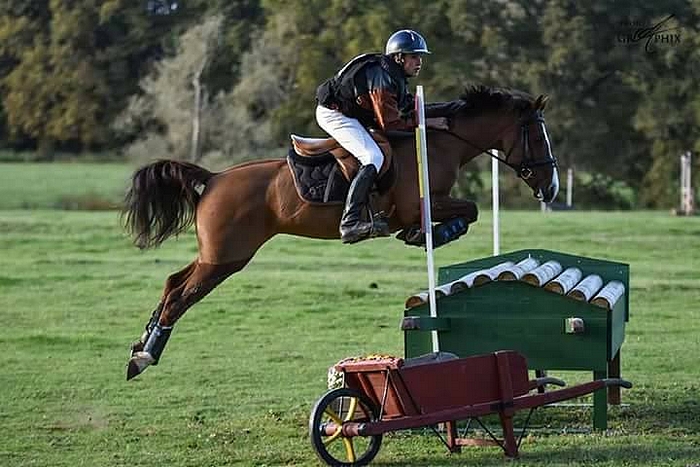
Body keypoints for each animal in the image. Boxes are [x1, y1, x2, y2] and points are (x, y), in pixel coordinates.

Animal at [120, 86, 556, 382]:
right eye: (537, 136)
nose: (550, 189)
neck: (438, 144)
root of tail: (212, 179)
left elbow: (470, 211)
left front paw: (424, 235)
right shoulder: (420, 203)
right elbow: (469, 209)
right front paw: (428, 233)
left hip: (217, 255)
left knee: (173, 282)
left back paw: (140, 347)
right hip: (226, 258)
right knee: (181, 295)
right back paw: (144, 358)